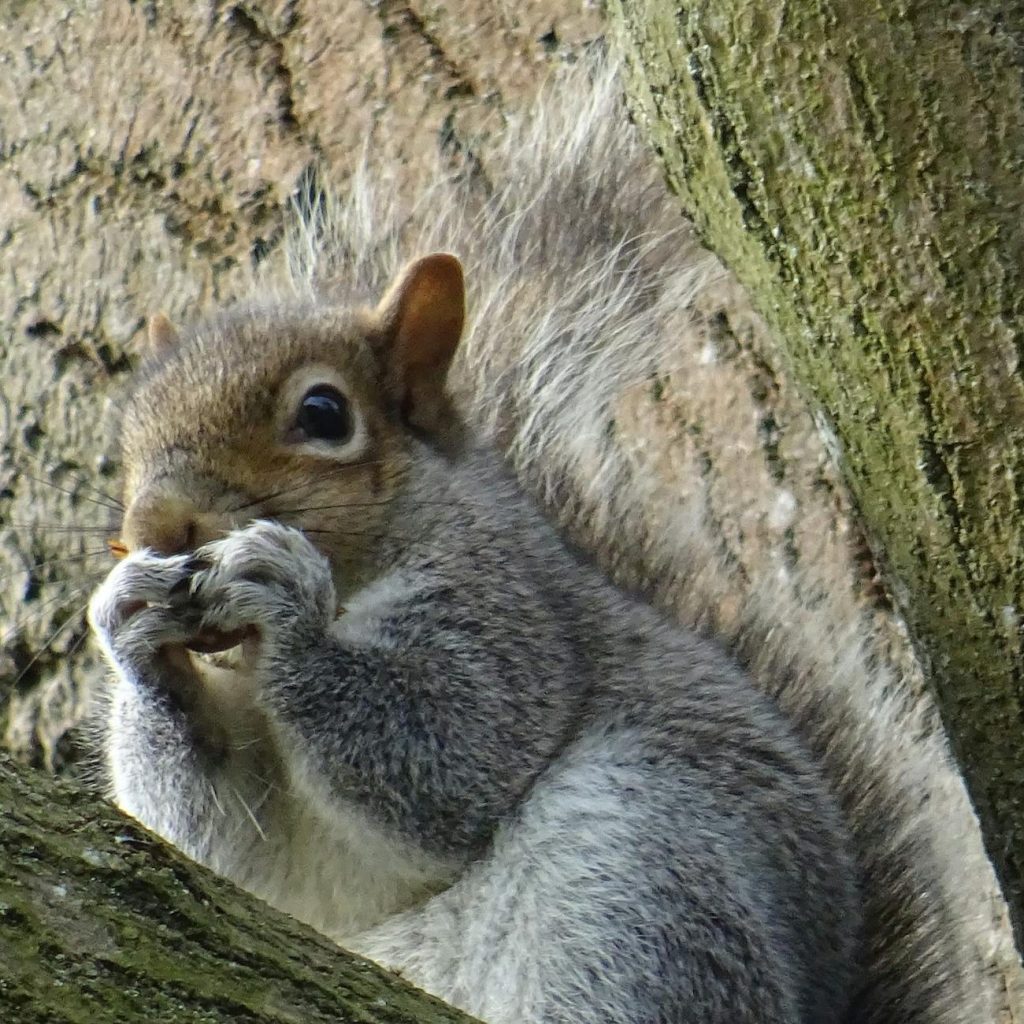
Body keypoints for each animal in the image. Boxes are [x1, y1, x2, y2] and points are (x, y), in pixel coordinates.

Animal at [87, 62, 987, 1023]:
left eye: (323, 414)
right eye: (130, 432)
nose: (155, 526)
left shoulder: (511, 614)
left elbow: (450, 753)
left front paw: (286, 605)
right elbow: (227, 836)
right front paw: (132, 627)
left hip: (632, 868)